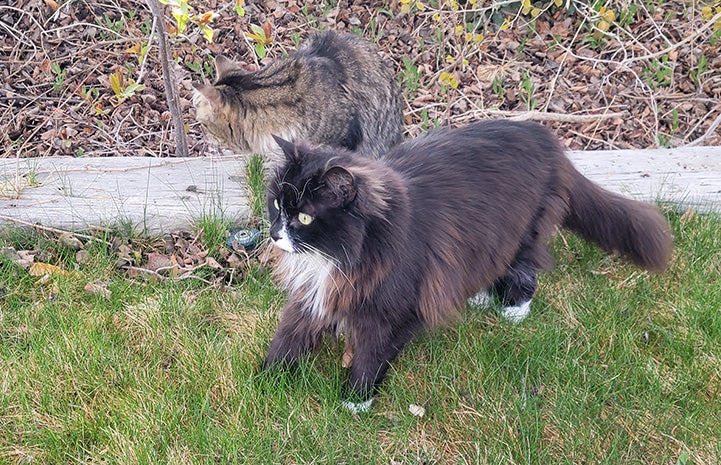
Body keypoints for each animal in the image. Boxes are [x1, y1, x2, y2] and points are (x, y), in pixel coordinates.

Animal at [262, 120, 672, 414]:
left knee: (527, 269)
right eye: (277, 205)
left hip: (520, 233)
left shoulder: (392, 312)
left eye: (304, 217)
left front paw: (355, 402)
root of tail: (548, 141)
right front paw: (269, 381)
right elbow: (288, 338)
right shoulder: (311, 296)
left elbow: (370, 357)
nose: (274, 233)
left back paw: (512, 310)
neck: (341, 255)